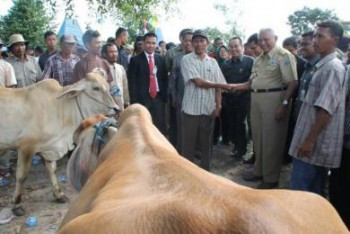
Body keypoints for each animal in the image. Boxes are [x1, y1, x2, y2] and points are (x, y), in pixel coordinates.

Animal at [0, 72, 118, 217]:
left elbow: (52, 170)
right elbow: (21, 176)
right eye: (96, 88)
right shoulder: (26, 146)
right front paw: (17, 204)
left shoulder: (48, 148)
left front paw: (59, 194)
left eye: (107, 85)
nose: (117, 109)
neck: (59, 108)